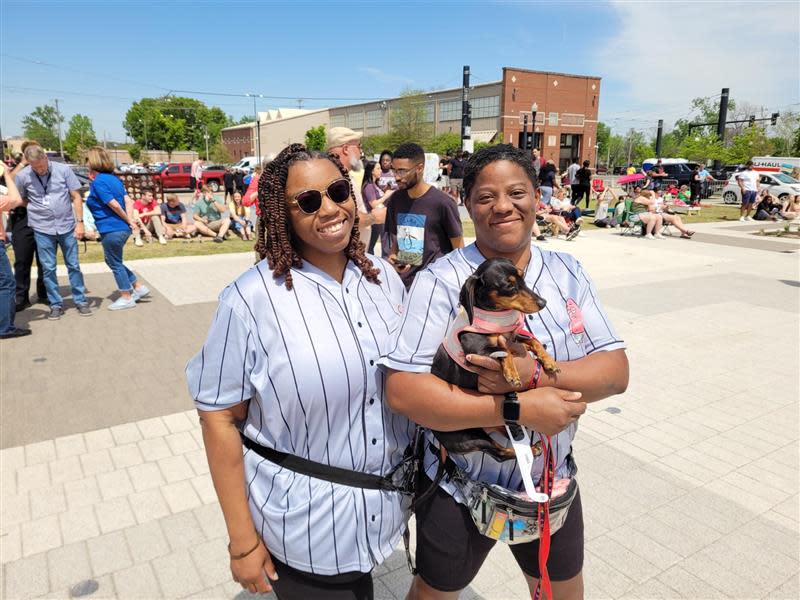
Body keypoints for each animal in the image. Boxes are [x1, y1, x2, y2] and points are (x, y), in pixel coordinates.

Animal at [428, 256, 560, 460]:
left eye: (523, 278)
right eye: (509, 286)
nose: (543, 302)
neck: (495, 317)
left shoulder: (513, 338)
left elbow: (532, 341)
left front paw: (549, 361)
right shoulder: (475, 350)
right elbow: (503, 351)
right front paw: (512, 374)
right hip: (470, 436)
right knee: (500, 453)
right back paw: (532, 449)